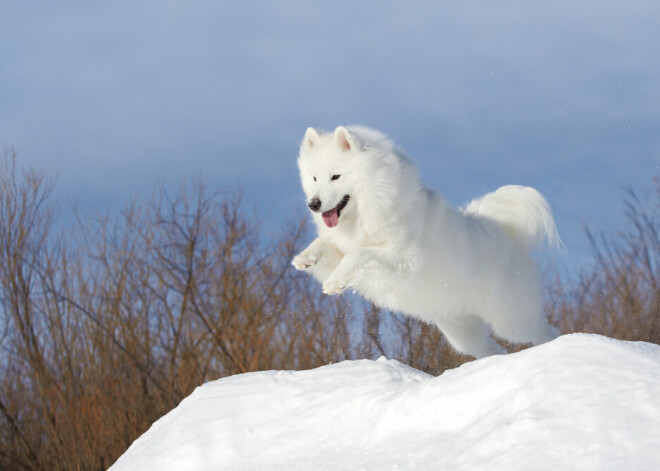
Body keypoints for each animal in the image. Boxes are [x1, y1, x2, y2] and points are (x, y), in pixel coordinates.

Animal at [292, 125, 560, 358]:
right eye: (314, 178)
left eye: (335, 177)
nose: (313, 204)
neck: (369, 209)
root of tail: (509, 234)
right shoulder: (346, 251)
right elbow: (328, 246)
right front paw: (304, 259)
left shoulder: (405, 262)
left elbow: (359, 254)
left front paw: (334, 282)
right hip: (463, 334)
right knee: (493, 349)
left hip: (512, 320)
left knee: (545, 331)